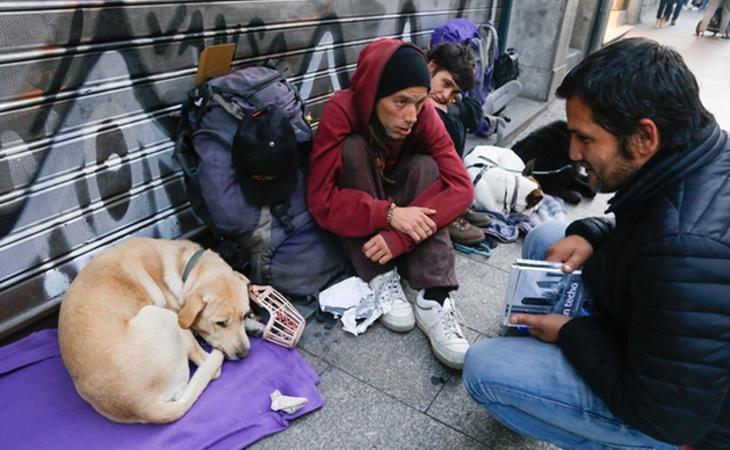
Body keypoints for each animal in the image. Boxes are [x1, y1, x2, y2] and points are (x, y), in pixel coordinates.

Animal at [57, 237, 250, 424]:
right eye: (220, 323)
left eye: (245, 315)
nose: (244, 353)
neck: (183, 266)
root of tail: (143, 406)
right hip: (164, 317)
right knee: (210, 366)